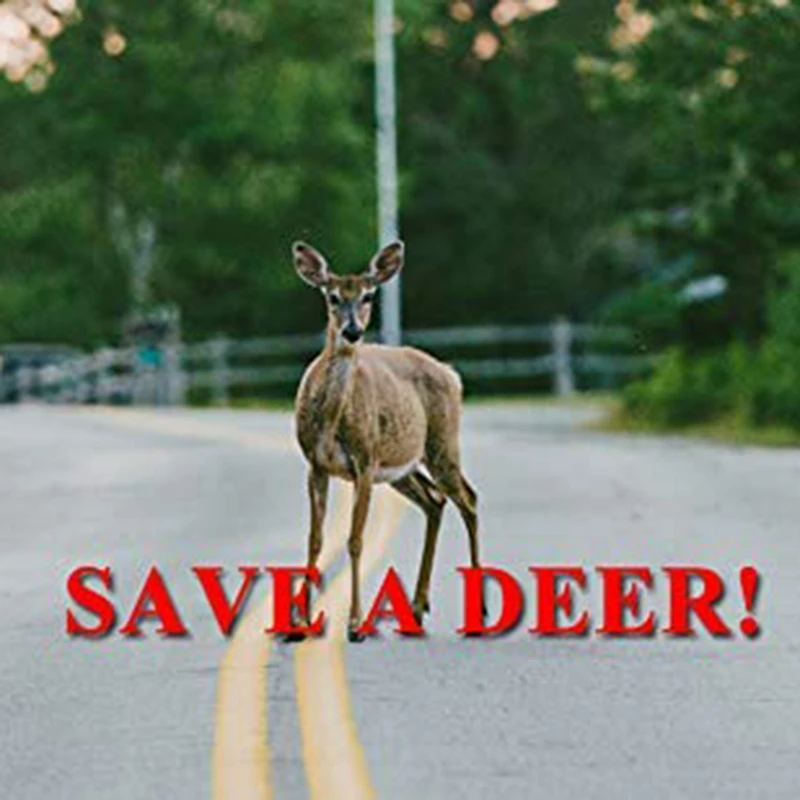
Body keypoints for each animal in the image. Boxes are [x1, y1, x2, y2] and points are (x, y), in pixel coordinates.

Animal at [292, 240, 482, 641]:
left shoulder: (364, 461)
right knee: (435, 501)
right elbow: (315, 539)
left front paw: (354, 624)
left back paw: (479, 615)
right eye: (332, 297)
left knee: (468, 498)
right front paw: (298, 624)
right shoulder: (315, 464)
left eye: (368, 295)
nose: (352, 331)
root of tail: (451, 374)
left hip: (441, 444)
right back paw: (417, 608)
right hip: (401, 468)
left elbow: (354, 540)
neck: (331, 419)